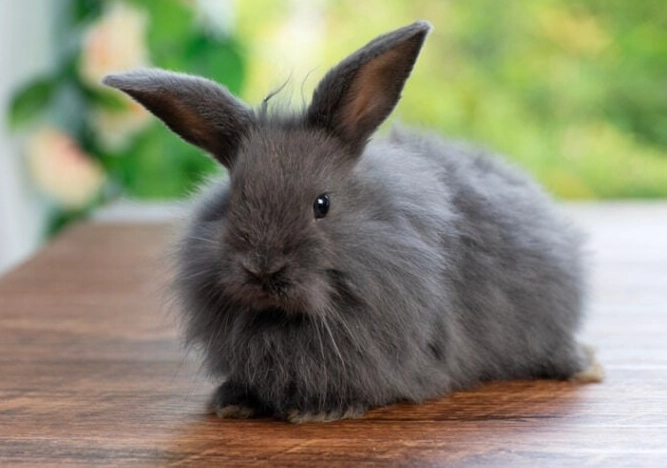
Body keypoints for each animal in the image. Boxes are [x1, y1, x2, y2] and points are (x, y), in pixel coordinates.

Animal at [102, 21, 603, 423]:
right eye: (235, 199)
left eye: (322, 204)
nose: (262, 269)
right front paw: (233, 403)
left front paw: (319, 412)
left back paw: (586, 368)